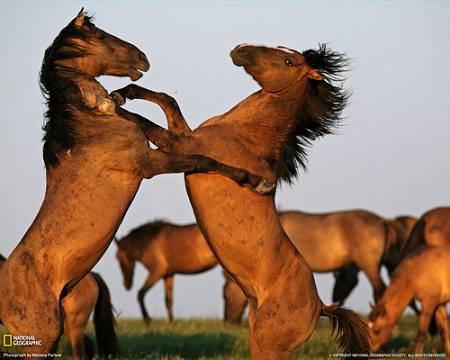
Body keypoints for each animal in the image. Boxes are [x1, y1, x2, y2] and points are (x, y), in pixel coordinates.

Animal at [0, 9, 270, 356]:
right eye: (101, 36)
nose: (143, 58)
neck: (86, 127)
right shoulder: (149, 164)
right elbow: (202, 160)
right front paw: (257, 181)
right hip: (42, 337)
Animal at [111, 43, 370, 358]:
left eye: (289, 60)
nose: (241, 50)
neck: (246, 133)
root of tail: (321, 306)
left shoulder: (182, 144)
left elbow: (146, 123)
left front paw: (108, 101)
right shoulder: (186, 136)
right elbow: (167, 100)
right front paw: (123, 91)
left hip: (268, 342)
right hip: (255, 335)